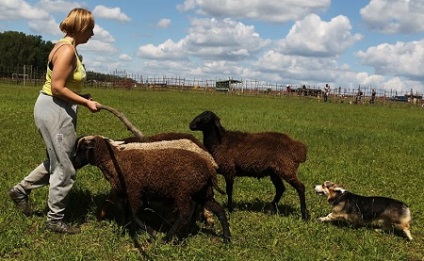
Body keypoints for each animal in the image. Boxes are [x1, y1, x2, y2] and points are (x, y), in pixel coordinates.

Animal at [74, 135, 230, 243]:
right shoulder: (126, 191)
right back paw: (226, 237)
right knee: (215, 208)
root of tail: (209, 162)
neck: (114, 158)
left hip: (183, 192)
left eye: (82, 149)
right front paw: (122, 229)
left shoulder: (133, 190)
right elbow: (124, 211)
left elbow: (131, 212)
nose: (74, 163)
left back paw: (169, 234)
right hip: (199, 192)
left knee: (186, 213)